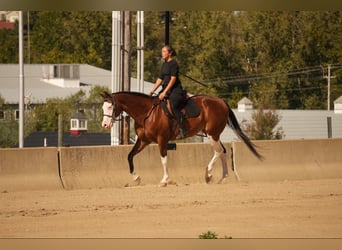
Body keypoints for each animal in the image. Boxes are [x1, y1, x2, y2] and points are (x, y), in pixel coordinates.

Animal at [101, 91, 262, 187]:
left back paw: (208, 174)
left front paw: (164, 180)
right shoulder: (143, 141)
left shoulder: (162, 139)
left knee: (218, 151)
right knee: (222, 151)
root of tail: (221, 101)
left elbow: (163, 160)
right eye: (103, 107)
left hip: (212, 134)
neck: (147, 113)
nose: (104, 125)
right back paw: (222, 177)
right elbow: (130, 156)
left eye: (110, 107)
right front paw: (136, 178)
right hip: (213, 135)